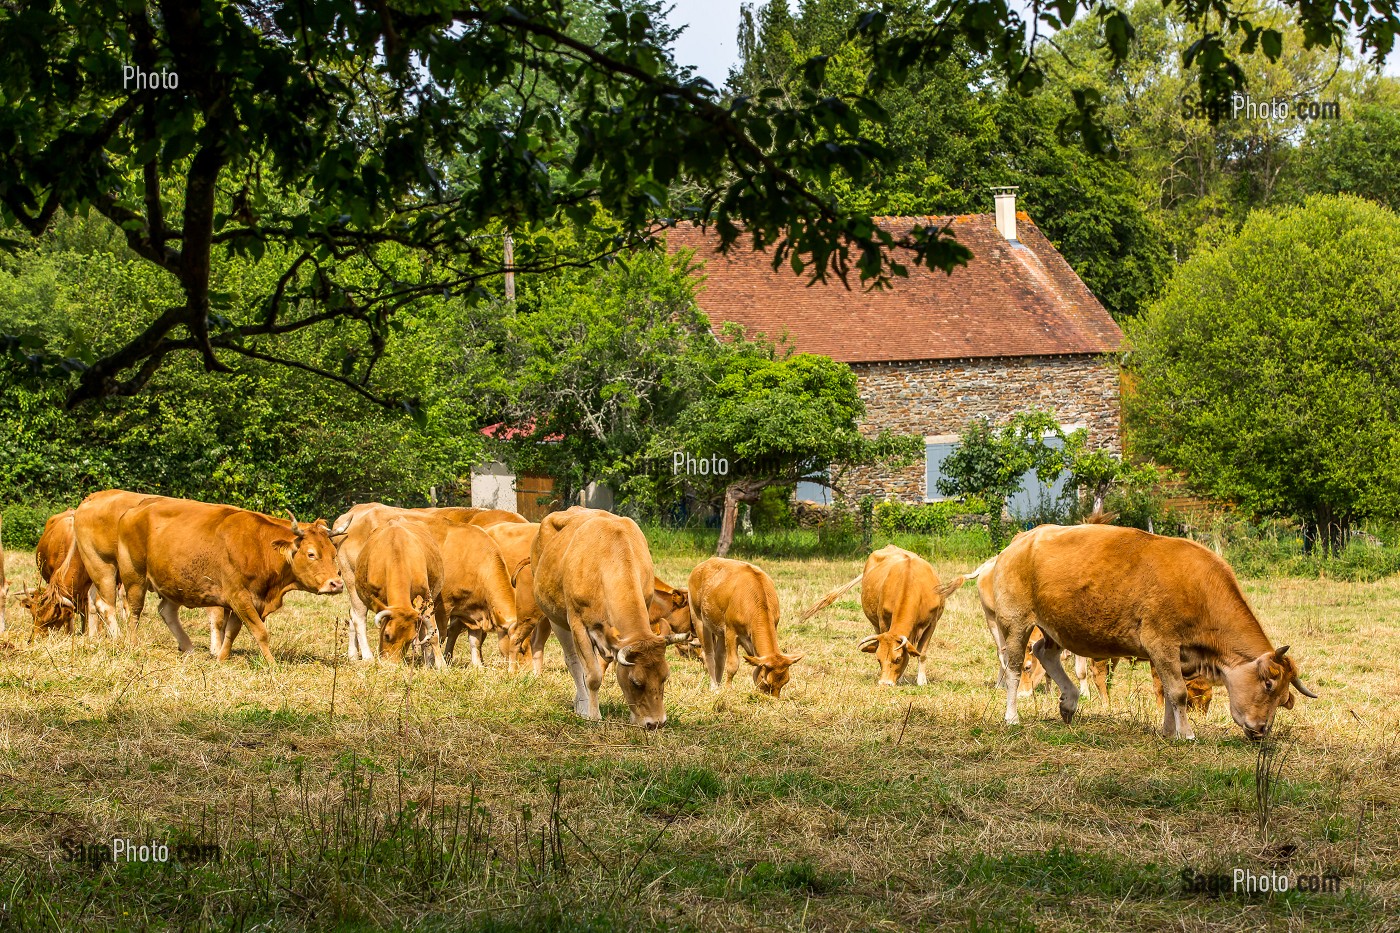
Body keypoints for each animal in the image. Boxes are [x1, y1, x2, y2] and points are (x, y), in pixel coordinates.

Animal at [116, 499, 343, 665]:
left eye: (334, 554)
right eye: (311, 553)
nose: (336, 584)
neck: (259, 546)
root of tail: (135, 509)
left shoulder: (248, 601)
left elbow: (232, 631)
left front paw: (221, 657)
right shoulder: (239, 596)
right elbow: (260, 632)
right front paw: (271, 663)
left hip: (173, 583)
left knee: (166, 611)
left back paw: (188, 647)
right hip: (134, 577)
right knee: (134, 612)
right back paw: (134, 645)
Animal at [353, 519, 444, 664]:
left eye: (410, 639)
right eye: (387, 635)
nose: (392, 665)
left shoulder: (426, 597)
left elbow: (433, 635)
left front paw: (441, 665)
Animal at [531, 507, 688, 727]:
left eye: (665, 677)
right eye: (635, 682)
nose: (656, 723)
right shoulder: (578, 623)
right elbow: (593, 675)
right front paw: (592, 714)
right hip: (555, 618)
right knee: (573, 662)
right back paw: (582, 703)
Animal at [689, 557, 802, 697]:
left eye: (785, 681)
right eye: (765, 681)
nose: (773, 699)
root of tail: (703, 565)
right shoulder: (731, 632)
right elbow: (733, 665)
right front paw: (728, 690)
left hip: (720, 631)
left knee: (719, 656)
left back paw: (719, 685)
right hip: (697, 617)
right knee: (708, 653)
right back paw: (715, 687)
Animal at [981, 522, 1317, 739]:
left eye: (1284, 698)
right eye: (1269, 684)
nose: (1260, 730)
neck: (1199, 587)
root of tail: (1021, 540)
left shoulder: (1174, 654)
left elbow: (1168, 690)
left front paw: (1169, 731)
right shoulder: (1162, 643)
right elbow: (1178, 691)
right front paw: (1186, 734)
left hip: (1055, 626)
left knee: (1044, 652)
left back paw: (1070, 700)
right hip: (1016, 622)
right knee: (1013, 666)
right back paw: (1012, 717)